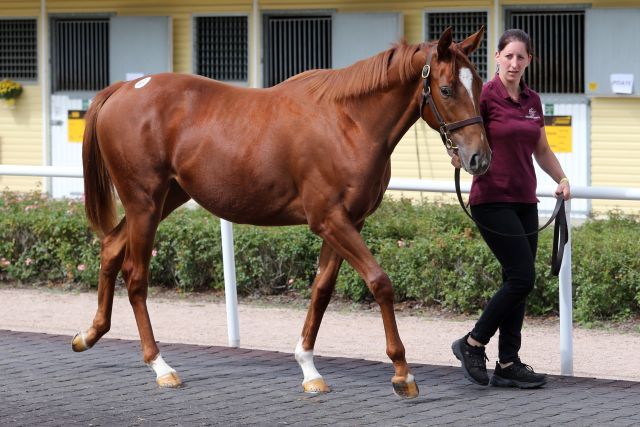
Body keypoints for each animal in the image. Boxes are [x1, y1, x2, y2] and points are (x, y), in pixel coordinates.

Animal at [72, 26, 488, 400]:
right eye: (447, 90)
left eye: (480, 85)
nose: (479, 158)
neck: (348, 123)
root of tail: (123, 89)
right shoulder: (330, 220)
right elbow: (379, 281)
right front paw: (402, 373)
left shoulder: (347, 222)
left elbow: (321, 290)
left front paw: (309, 369)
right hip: (144, 202)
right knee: (136, 277)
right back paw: (160, 366)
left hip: (165, 199)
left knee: (110, 247)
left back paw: (88, 335)